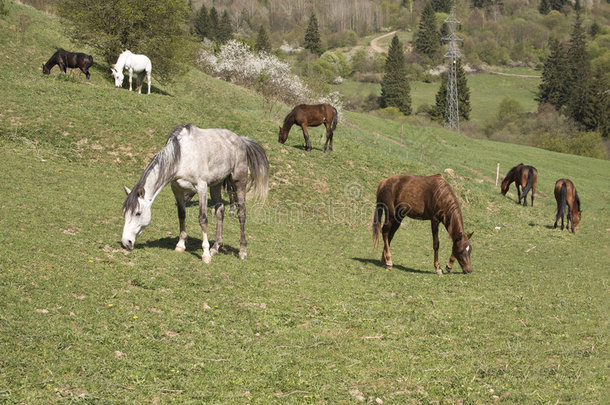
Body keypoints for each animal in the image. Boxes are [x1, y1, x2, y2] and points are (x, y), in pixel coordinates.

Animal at [121, 124, 268, 262]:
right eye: (124, 213)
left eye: (138, 213)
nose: (126, 242)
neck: (182, 157)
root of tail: (241, 139)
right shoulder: (177, 189)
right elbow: (181, 215)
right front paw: (180, 245)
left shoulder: (201, 187)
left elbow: (203, 219)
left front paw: (205, 254)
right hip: (216, 184)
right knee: (220, 211)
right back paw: (216, 247)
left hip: (239, 182)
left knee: (241, 213)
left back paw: (242, 251)